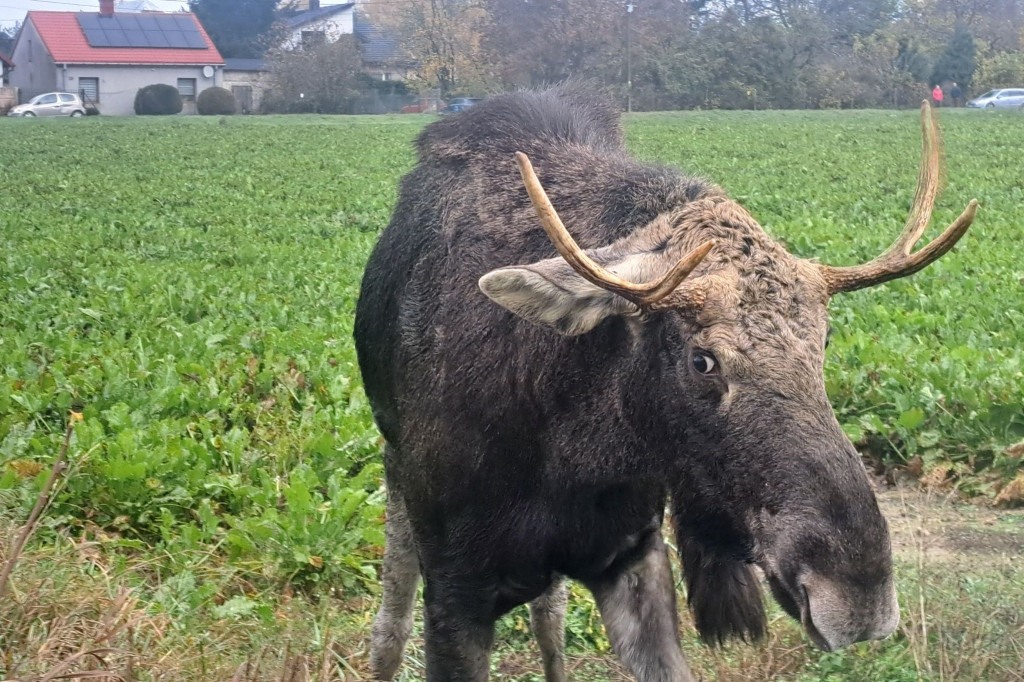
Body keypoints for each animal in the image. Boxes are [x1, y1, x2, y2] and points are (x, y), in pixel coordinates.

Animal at [356, 86, 978, 679]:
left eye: (822, 342)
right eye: (703, 361)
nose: (858, 594)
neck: (565, 456)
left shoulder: (633, 554)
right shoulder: (455, 587)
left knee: (548, 621)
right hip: (395, 470)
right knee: (391, 622)